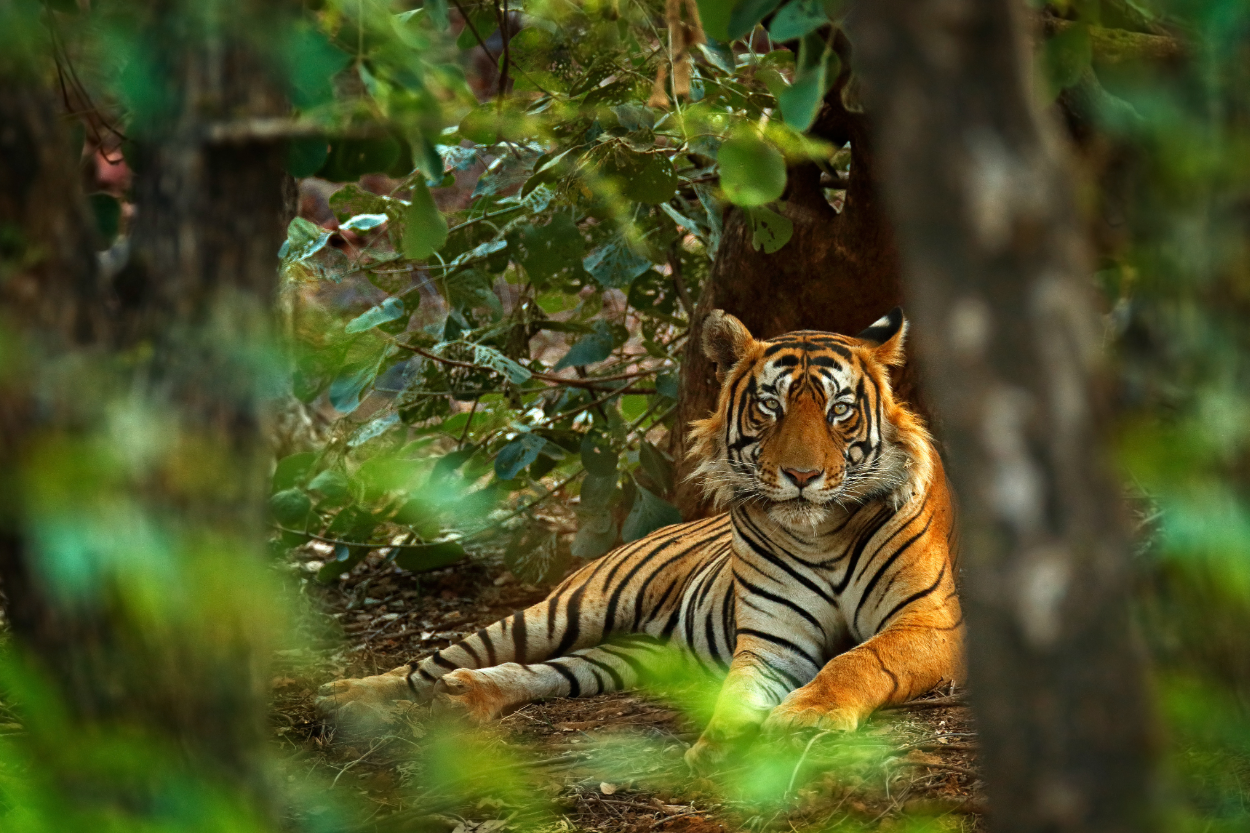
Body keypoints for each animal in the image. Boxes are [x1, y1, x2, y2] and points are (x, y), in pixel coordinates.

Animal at [318, 308, 964, 769]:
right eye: (770, 407)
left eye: (840, 411)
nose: (801, 476)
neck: (821, 534)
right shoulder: (771, 641)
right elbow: (738, 694)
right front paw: (721, 747)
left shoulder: (930, 623)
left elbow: (858, 660)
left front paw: (805, 718)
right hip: (567, 610)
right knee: (435, 661)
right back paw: (349, 695)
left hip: (630, 656)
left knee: (548, 672)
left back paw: (466, 696)